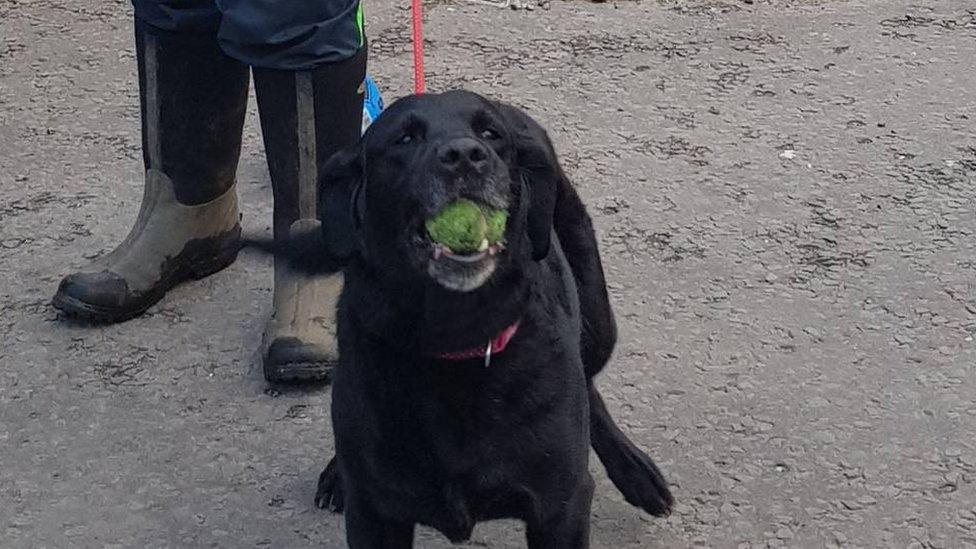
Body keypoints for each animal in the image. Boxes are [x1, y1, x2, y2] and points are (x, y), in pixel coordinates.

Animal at [264, 88, 672, 544]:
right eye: (405, 138)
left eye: (491, 135)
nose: (465, 155)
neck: (452, 342)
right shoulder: (374, 515)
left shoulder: (559, 508)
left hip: (598, 321)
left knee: (589, 382)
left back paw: (635, 471)